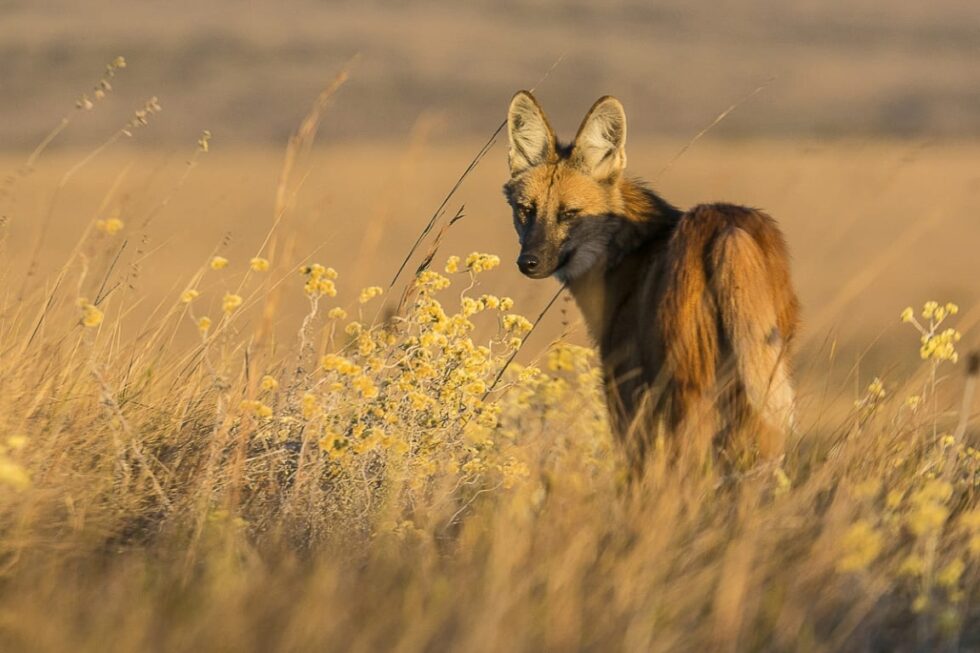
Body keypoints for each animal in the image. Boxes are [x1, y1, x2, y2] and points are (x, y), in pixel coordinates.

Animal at [502, 89, 800, 472]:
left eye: (568, 213)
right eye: (526, 210)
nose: (529, 262)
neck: (627, 256)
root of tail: (726, 227)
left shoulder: (625, 392)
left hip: (688, 397)